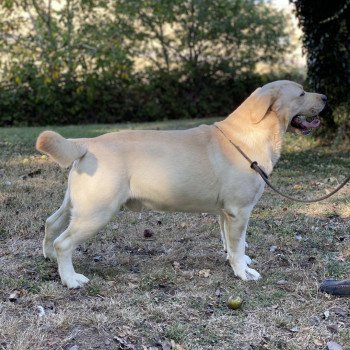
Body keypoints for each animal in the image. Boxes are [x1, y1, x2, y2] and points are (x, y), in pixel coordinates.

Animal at [35, 80, 326, 288]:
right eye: (301, 93)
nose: (325, 97)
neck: (249, 136)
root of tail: (87, 143)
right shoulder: (239, 210)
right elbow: (238, 242)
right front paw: (243, 272)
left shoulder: (225, 212)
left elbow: (231, 242)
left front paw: (237, 260)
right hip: (97, 211)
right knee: (64, 242)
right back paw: (71, 279)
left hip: (76, 204)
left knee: (51, 223)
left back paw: (49, 257)